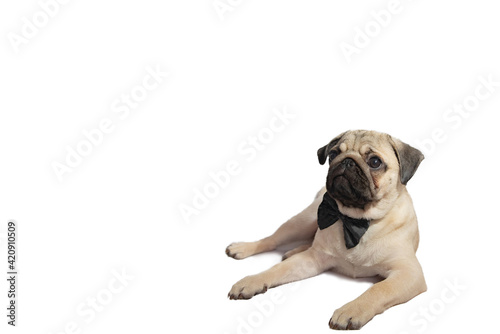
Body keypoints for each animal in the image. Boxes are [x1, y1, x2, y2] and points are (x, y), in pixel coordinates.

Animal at [227, 130, 426, 328]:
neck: (357, 221)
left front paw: (351, 310)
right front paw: (253, 280)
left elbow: (379, 289)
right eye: (333, 154)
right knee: (272, 240)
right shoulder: (314, 259)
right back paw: (243, 248)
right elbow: (277, 270)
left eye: (375, 162)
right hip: (303, 221)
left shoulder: (408, 273)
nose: (347, 161)